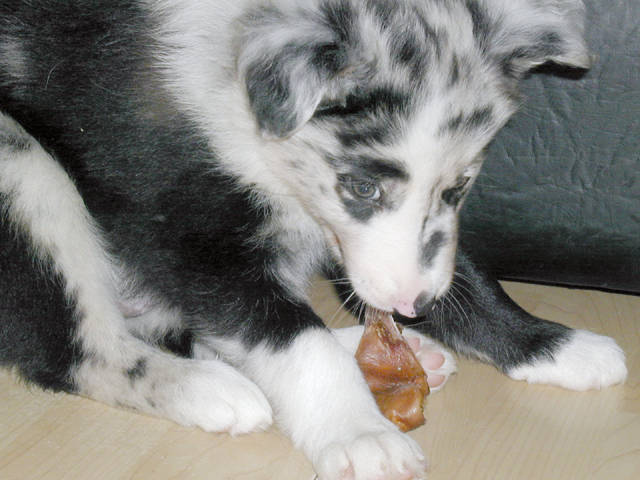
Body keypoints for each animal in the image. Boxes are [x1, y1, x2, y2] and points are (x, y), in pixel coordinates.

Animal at [0, 1, 627, 478]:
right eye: (362, 187)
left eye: (459, 187)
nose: (417, 308)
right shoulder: (183, 226)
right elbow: (292, 336)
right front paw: (359, 434)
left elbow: (468, 274)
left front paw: (550, 344)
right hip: (22, 166)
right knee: (80, 353)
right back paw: (211, 390)